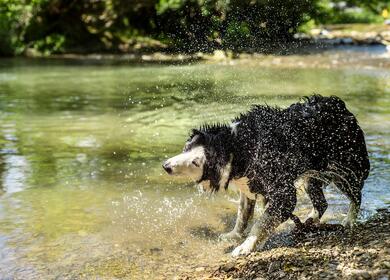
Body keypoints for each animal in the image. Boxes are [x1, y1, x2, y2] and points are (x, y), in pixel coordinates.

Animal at [161, 95, 368, 258]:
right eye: (186, 148)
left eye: (196, 162)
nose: (166, 166)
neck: (238, 147)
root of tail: (339, 106)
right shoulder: (247, 187)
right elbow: (242, 216)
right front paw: (233, 236)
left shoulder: (283, 193)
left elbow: (260, 223)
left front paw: (245, 247)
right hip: (310, 177)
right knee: (321, 202)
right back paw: (309, 221)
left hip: (344, 168)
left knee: (356, 195)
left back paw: (349, 220)